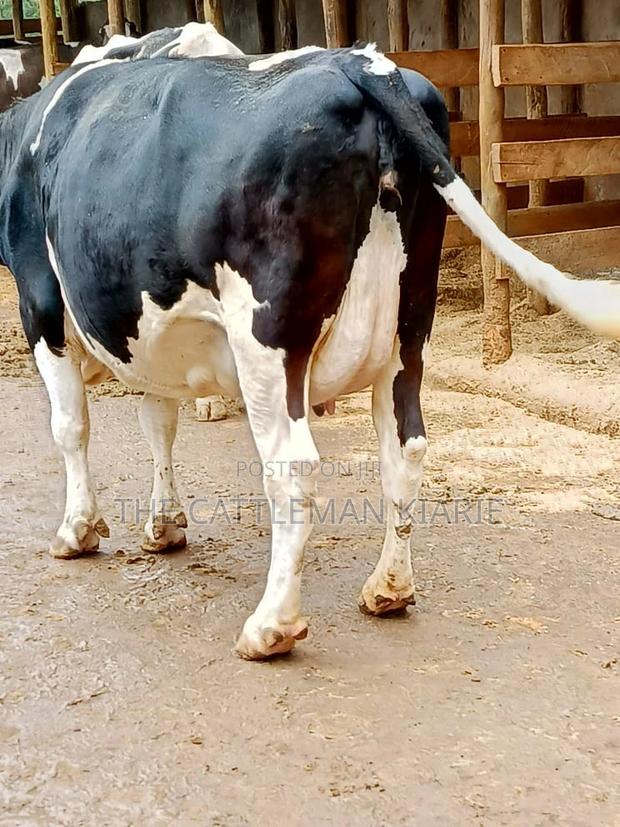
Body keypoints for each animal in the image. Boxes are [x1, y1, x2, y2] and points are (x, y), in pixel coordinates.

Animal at [1, 44, 619, 660]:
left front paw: (77, 530)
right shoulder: (147, 335)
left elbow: (71, 427)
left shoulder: (40, 298)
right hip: (410, 323)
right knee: (406, 447)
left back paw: (271, 625)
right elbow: (158, 421)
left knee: (293, 465)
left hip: (268, 335)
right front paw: (165, 525)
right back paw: (388, 589)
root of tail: (363, 62)